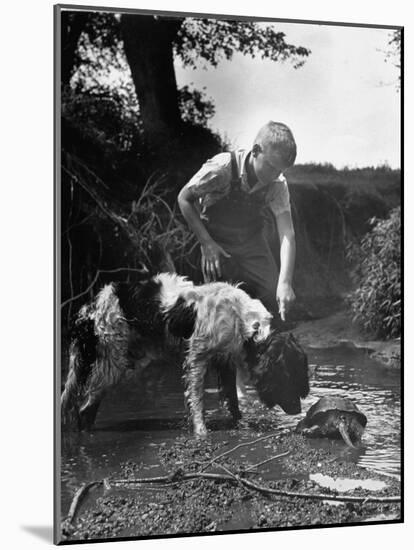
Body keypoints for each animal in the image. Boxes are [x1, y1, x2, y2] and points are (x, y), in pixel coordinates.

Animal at [60, 274, 308, 438]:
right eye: (289, 377)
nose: (298, 411)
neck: (242, 320)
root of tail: (88, 309)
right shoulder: (197, 359)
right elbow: (197, 401)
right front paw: (201, 433)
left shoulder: (224, 360)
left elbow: (232, 402)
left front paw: (240, 425)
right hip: (113, 363)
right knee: (84, 408)